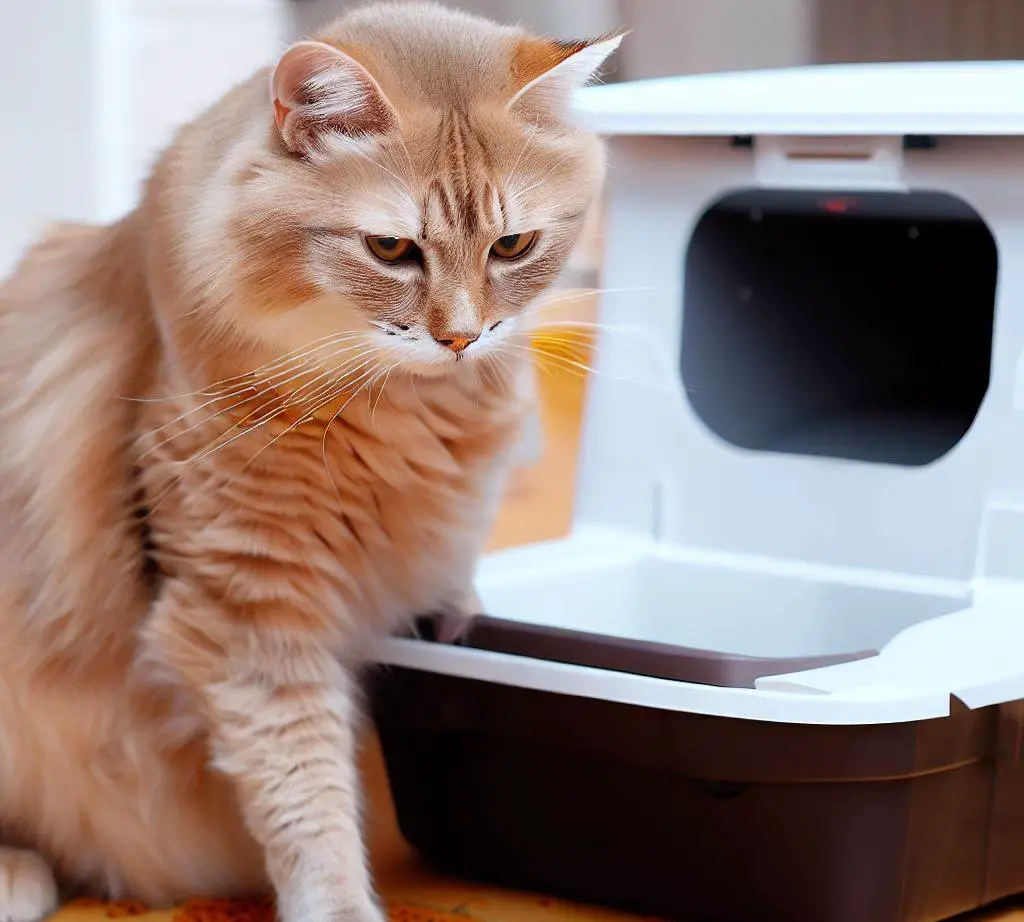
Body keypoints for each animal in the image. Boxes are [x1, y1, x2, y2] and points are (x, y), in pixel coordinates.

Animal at [0, 5, 618, 922]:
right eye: (391, 249)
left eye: (512, 245)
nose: (462, 337)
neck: (402, 411)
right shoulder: (248, 608)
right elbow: (306, 792)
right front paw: (338, 907)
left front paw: (462, 615)